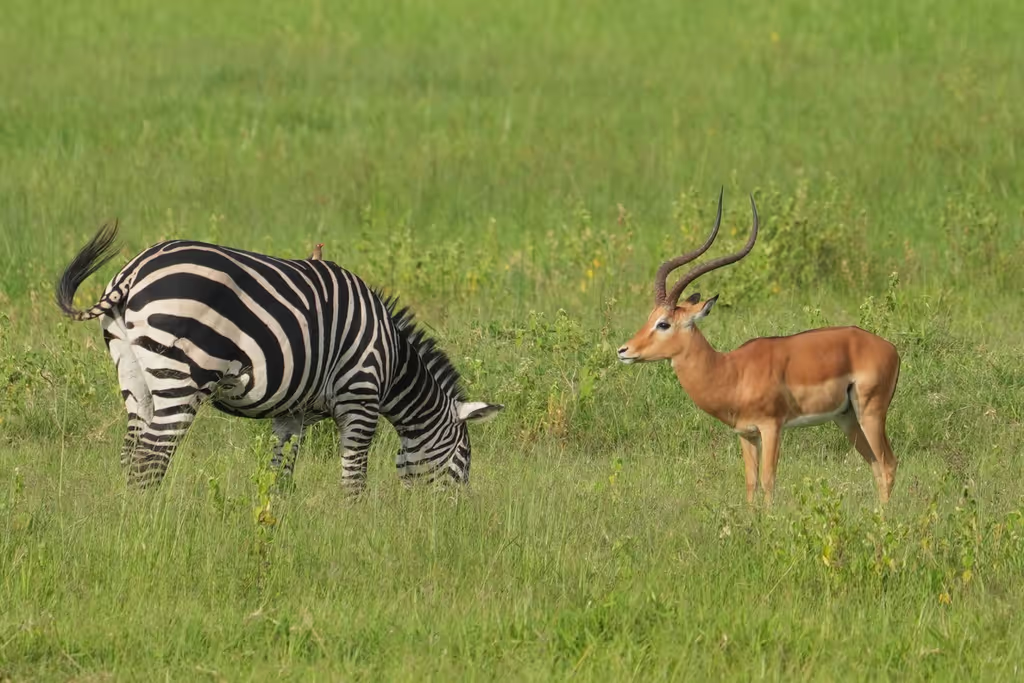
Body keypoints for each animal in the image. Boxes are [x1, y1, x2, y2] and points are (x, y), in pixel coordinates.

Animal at [55, 223, 503, 491]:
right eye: (463, 462)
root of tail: (131, 271)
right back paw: (148, 523)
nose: (448, 521)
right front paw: (354, 531)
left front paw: (274, 523)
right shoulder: (360, 398)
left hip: (134, 371)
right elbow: (353, 478)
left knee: (131, 451)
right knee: (151, 456)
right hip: (180, 374)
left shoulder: (292, 414)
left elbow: (280, 475)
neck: (391, 363)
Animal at [617, 190, 901, 505]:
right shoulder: (747, 434)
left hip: (870, 413)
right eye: (650, 317)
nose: (624, 350)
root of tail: (890, 348)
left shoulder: (771, 427)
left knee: (888, 464)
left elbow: (768, 480)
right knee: (876, 466)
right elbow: (751, 482)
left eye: (664, 323)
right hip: (847, 419)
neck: (732, 372)